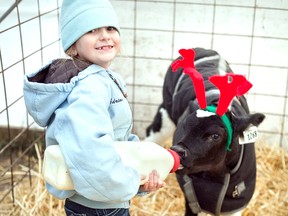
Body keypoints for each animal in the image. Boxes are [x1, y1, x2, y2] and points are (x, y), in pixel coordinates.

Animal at [146, 48, 266, 216]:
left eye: (215, 136)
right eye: (185, 126)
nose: (178, 150)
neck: (216, 174)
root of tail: (203, 49)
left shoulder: (236, 201)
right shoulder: (193, 197)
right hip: (166, 112)